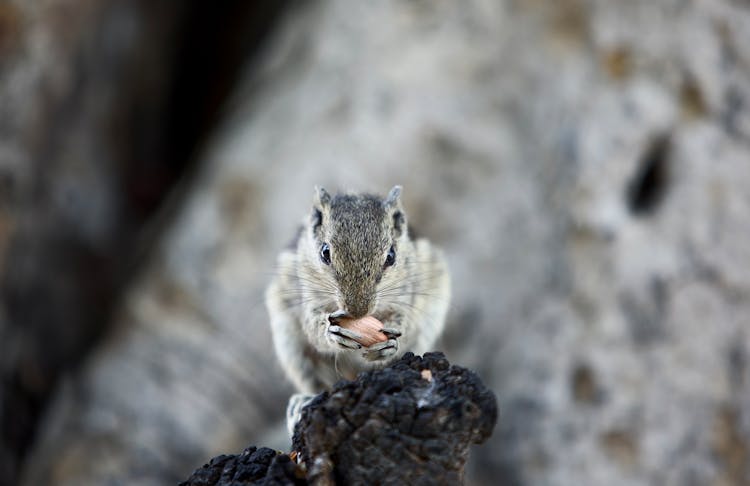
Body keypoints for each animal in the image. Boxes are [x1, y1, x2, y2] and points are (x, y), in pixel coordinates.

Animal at [266, 186, 452, 398]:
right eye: (324, 252)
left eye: (391, 256)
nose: (357, 312)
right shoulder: (307, 297)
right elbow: (313, 327)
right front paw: (330, 331)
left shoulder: (408, 297)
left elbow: (407, 325)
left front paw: (392, 344)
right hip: (293, 349)